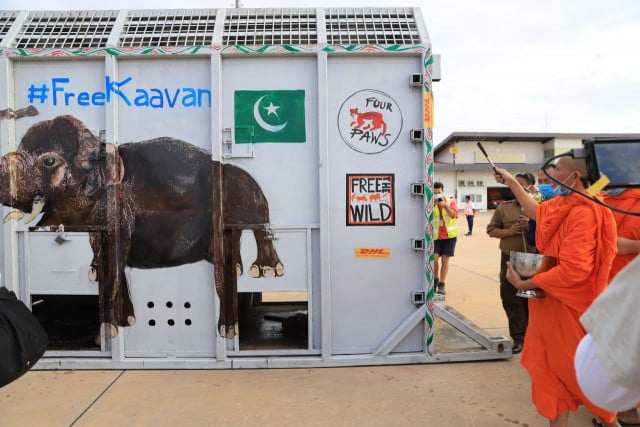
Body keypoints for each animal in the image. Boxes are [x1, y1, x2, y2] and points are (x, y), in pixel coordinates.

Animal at [0, 115, 282, 340]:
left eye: (48, 161)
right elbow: (112, 263)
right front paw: (124, 323)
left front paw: (227, 331)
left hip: (249, 195)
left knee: (259, 227)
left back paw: (265, 270)